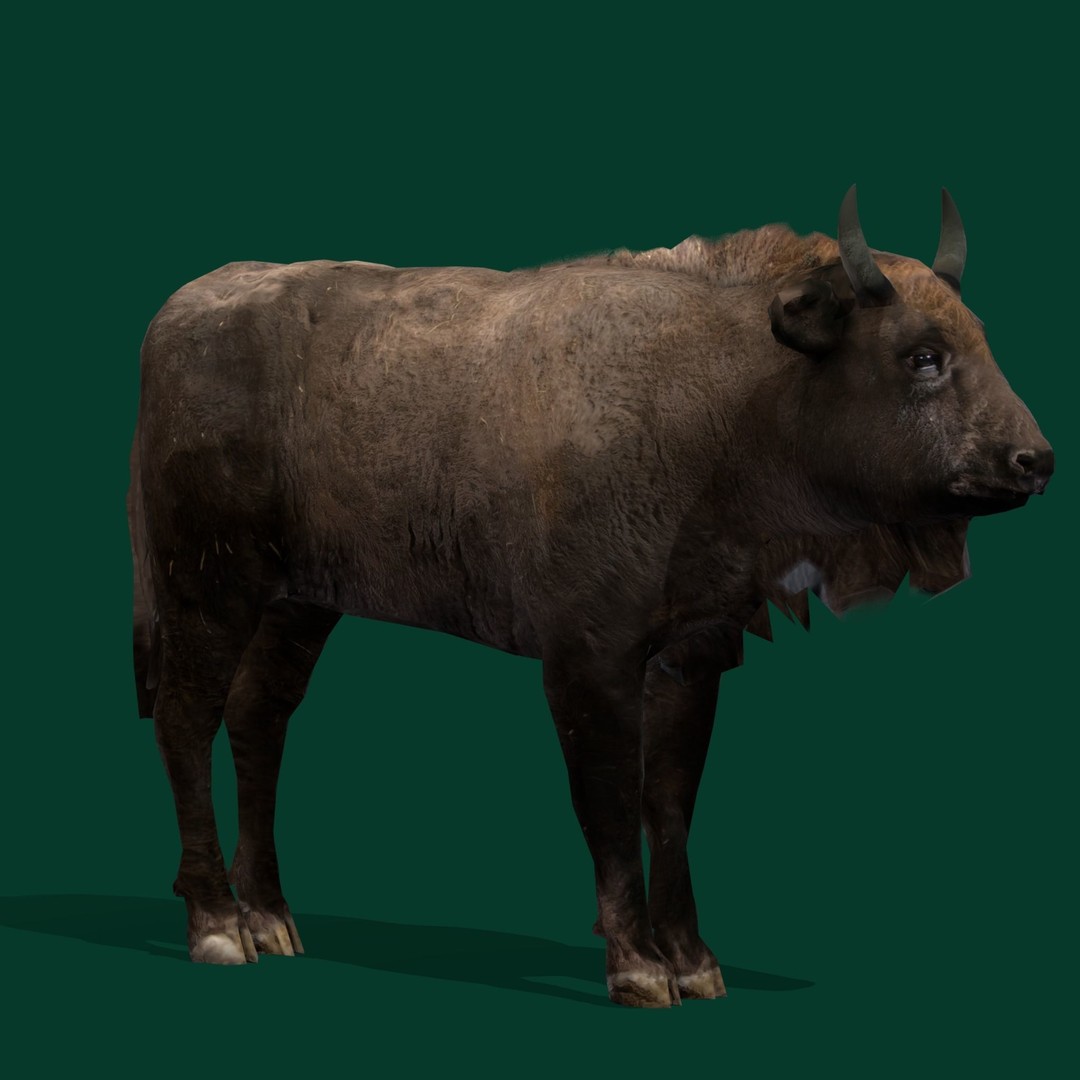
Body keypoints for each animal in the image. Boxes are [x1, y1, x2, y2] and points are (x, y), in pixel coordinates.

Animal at [128, 188, 1052, 1008]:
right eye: (921, 354)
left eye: (981, 339)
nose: (1035, 460)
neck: (731, 393)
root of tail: (178, 312)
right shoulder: (588, 661)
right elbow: (607, 801)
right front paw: (639, 971)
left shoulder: (690, 655)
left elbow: (669, 802)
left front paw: (696, 966)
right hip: (209, 591)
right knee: (185, 719)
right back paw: (218, 927)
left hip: (299, 606)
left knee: (259, 718)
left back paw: (272, 918)